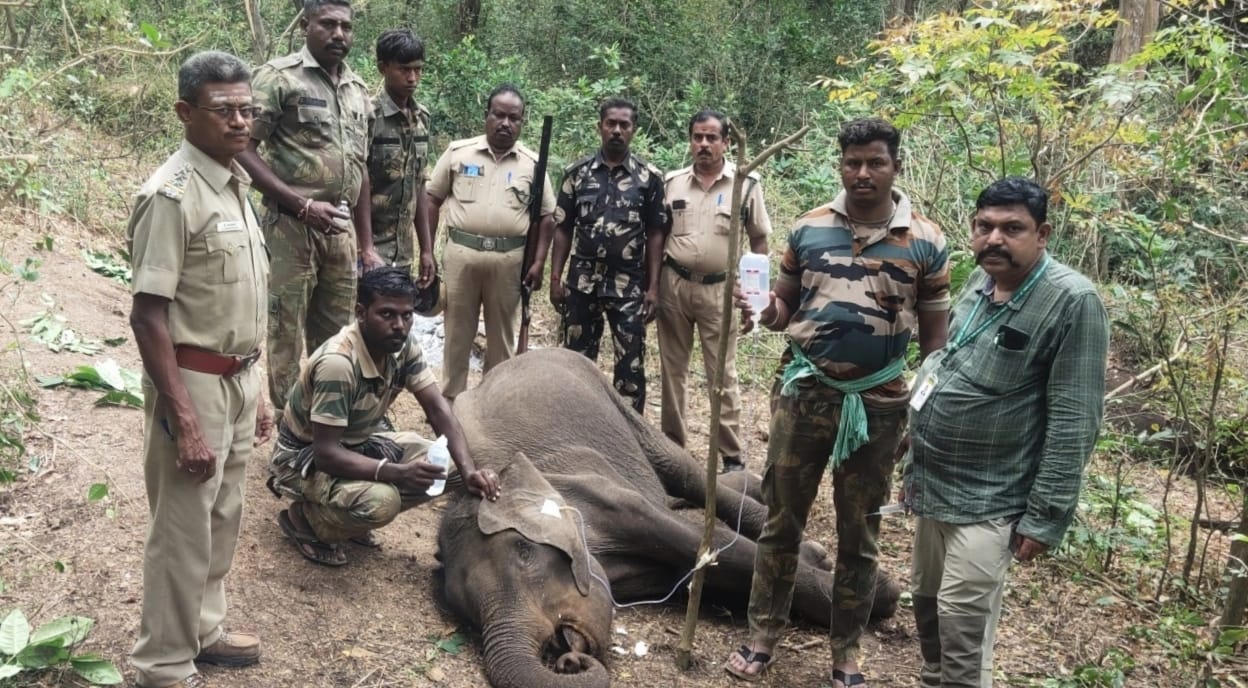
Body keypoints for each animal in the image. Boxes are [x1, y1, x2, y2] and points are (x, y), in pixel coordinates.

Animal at [439, 352, 898, 684]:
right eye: (467, 614)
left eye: (523, 554)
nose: (565, 658)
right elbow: (708, 574)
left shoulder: (604, 495)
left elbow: (712, 548)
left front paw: (885, 595)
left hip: (616, 399)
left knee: (685, 472)